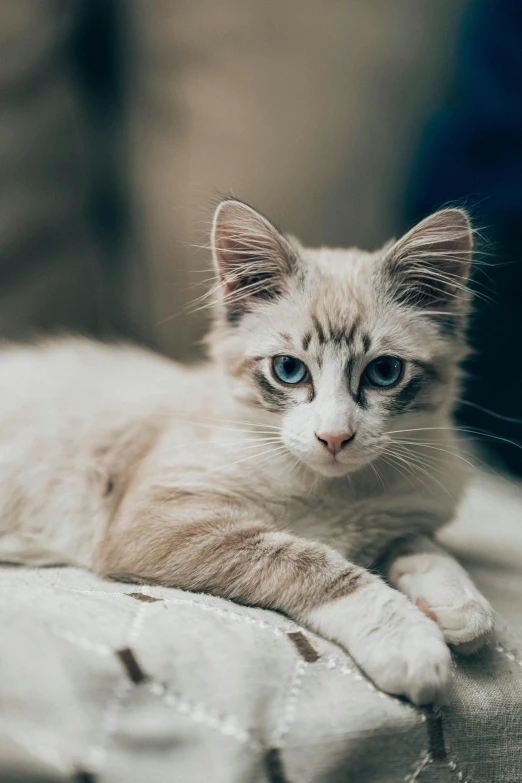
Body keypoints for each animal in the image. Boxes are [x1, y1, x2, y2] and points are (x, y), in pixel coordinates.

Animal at [0, 198, 492, 704]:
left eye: (385, 372)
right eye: (289, 370)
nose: (334, 438)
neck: (333, 492)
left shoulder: (401, 514)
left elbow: (423, 546)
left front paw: (460, 603)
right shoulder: (164, 520)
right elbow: (315, 563)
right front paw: (406, 638)